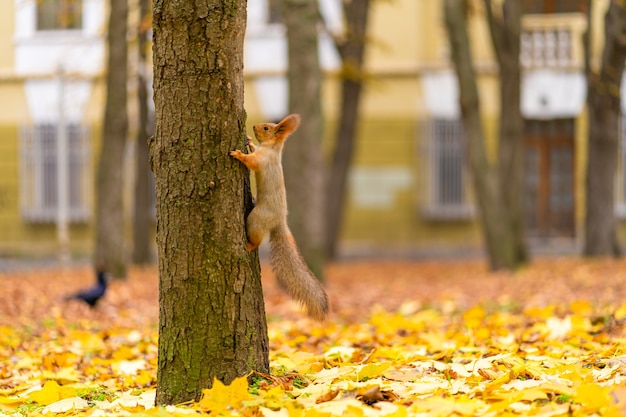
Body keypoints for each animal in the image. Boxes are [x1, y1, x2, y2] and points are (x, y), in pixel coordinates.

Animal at [228, 114, 326, 318]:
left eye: (266, 128)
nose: (254, 127)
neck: (272, 148)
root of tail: (279, 220)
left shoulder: (262, 160)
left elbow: (251, 162)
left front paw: (239, 154)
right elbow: (253, 149)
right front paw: (249, 140)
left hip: (256, 219)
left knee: (256, 238)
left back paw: (249, 245)